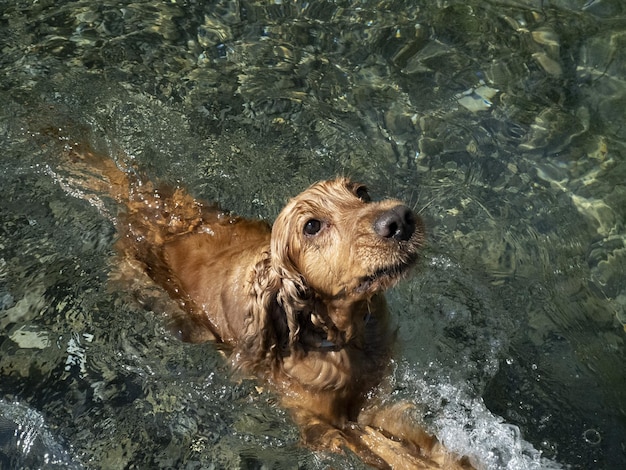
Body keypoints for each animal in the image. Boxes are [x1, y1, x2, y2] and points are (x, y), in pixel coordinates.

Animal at [47, 133, 468, 470]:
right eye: (311, 226)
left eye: (362, 192)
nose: (400, 219)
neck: (344, 339)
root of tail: (142, 203)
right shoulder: (320, 423)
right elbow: (379, 448)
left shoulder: (372, 393)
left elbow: (408, 438)